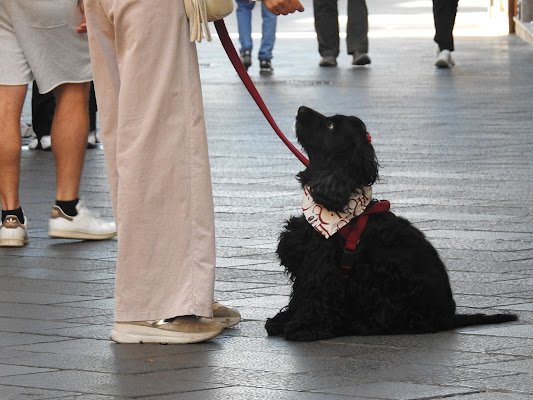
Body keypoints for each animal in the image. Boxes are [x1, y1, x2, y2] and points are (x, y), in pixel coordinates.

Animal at [264, 106, 516, 340]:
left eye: (331, 126)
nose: (301, 109)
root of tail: (450, 317)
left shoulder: (321, 266)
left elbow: (313, 296)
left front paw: (304, 328)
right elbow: (298, 296)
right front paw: (281, 322)